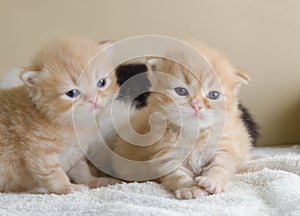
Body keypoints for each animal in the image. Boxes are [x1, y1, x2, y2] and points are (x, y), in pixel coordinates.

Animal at [0, 37, 119, 194]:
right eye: (72, 93)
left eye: (102, 82)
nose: (94, 100)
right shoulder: (39, 153)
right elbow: (54, 174)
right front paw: (68, 187)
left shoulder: (74, 154)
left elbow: (82, 171)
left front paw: (96, 181)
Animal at [111, 41, 252, 199]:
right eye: (181, 91)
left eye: (213, 95)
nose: (196, 105)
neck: (193, 135)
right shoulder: (167, 155)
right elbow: (178, 175)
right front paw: (190, 188)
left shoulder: (224, 147)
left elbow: (220, 166)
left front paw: (211, 181)